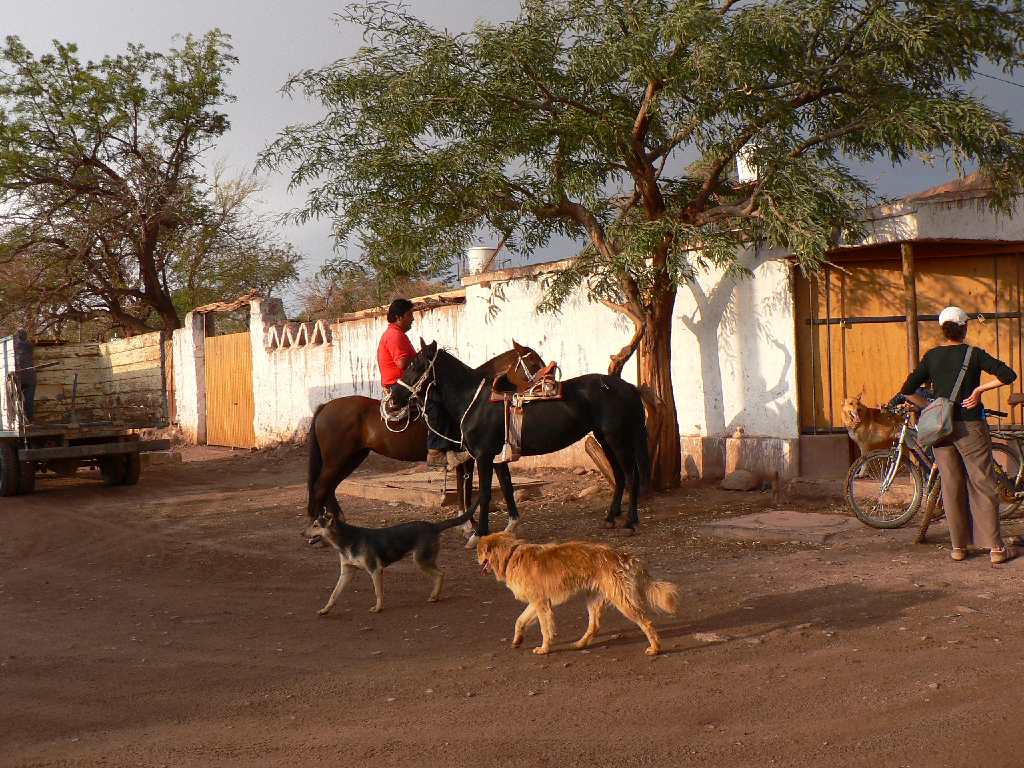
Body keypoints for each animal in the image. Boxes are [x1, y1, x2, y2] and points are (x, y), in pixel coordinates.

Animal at [301, 512, 473, 618]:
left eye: (316, 525)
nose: (301, 533)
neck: (345, 541)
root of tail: (434, 526)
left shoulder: (375, 570)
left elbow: (378, 592)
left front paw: (378, 608)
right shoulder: (346, 573)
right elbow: (334, 594)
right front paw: (325, 609)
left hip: (420, 560)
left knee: (440, 574)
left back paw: (435, 596)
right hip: (423, 560)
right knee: (439, 574)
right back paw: (435, 596)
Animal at [305, 342, 548, 524]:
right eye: (534, 362)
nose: (550, 383)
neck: (470, 397)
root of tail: (325, 406)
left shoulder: (468, 456)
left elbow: (466, 489)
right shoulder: (470, 455)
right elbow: (467, 489)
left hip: (351, 457)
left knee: (329, 488)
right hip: (338, 459)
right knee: (320, 488)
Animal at [387, 339, 651, 544]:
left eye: (415, 365)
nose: (393, 398)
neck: (475, 400)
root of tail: (628, 387)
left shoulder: (483, 456)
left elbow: (485, 493)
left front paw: (478, 533)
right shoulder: (497, 457)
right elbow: (506, 488)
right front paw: (510, 526)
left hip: (618, 439)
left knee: (631, 475)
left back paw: (630, 522)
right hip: (605, 439)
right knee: (619, 475)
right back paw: (611, 518)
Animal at [477, 536, 679, 655]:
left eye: (479, 552)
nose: (476, 560)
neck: (510, 555)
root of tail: (625, 556)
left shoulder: (541, 603)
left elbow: (544, 629)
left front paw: (545, 648)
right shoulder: (538, 602)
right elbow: (519, 620)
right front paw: (517, 640)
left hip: (623, 601)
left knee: (646, 622)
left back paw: (655, 648)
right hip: (594, 599)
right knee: (594, 625)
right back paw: (581, 644)